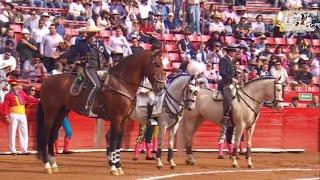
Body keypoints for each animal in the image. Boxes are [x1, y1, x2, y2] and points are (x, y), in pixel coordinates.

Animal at [36, 50, 166, 174]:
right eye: (157, 65)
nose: (161, 87)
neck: (121, 84)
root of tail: (46, 81)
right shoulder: (116, 118)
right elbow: (113, 140)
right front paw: (113, 168)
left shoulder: (124, 120)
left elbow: (118, 141)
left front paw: (118, 166)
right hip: (50, 112)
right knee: (45, 135)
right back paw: (47, 165)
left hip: (61, 113)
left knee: (52, 135)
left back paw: (54, 164)